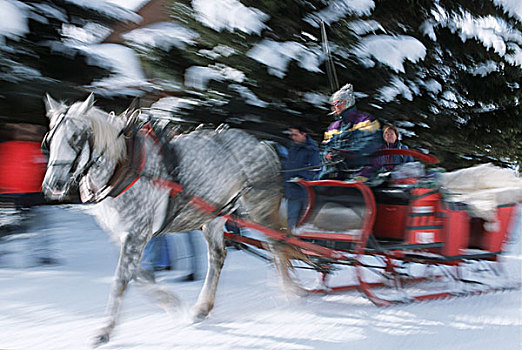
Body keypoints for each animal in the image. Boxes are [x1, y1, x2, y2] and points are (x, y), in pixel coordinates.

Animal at [41, 94, 292, 346]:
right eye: (50, 138)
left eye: (76, 137)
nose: (53, 184)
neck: (124, 163)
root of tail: (262, 144)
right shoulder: (123, 234)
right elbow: (138, 275)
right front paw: (172, 303)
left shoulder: (137, 233)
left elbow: (121, 280)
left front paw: (104, 330)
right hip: (215, 216)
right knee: (218, 257)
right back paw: (203, 307)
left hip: (260, 207)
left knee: (278, 244)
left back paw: (292, 291)